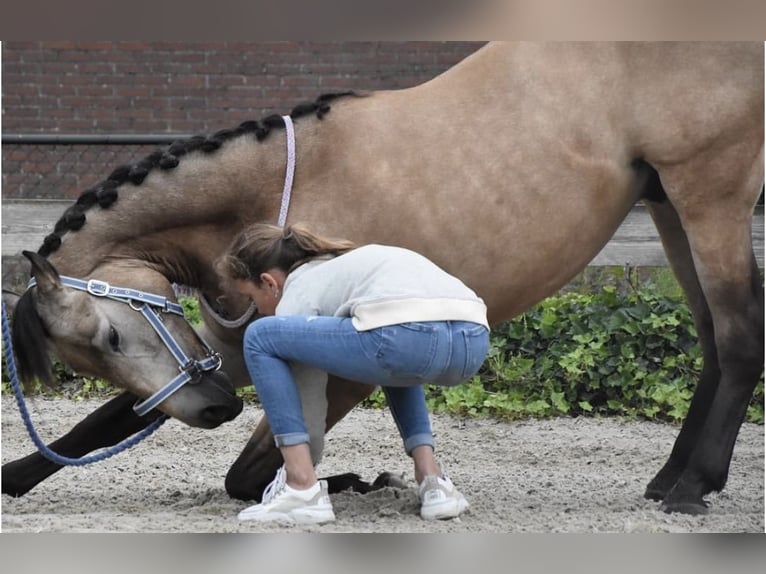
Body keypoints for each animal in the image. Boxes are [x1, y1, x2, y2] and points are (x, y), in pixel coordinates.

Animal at [3, 41, 764, 516]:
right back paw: (672, 476)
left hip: (709, 195)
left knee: (737, 335)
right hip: (667, 205)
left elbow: (247, 472)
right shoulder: (226, 348)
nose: (215, 410)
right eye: (92, 355)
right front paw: (14, 478)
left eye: (109, 337)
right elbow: (103, 425)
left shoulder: (336, 368)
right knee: (709, 336)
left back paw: (692, 485)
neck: (273, 193)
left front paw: (359, 479)